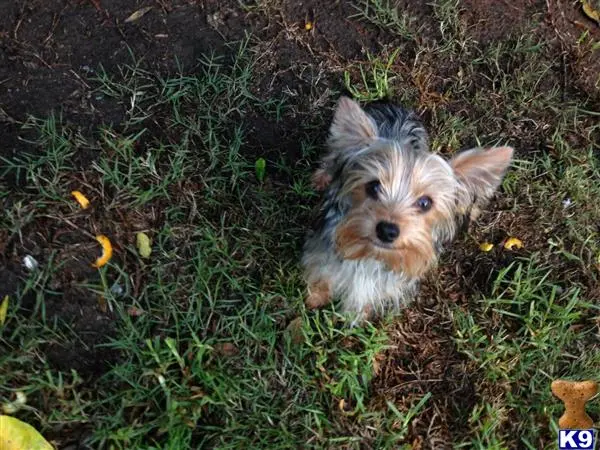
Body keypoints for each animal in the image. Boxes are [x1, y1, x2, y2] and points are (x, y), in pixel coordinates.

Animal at [302, 96, 512, 322]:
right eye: (373, 186)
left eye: (425, 203)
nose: (387, 230)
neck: (373, 256)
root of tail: (390, 103)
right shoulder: (322, 257)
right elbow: (322, 279)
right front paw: (314, 298)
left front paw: (360, 315)